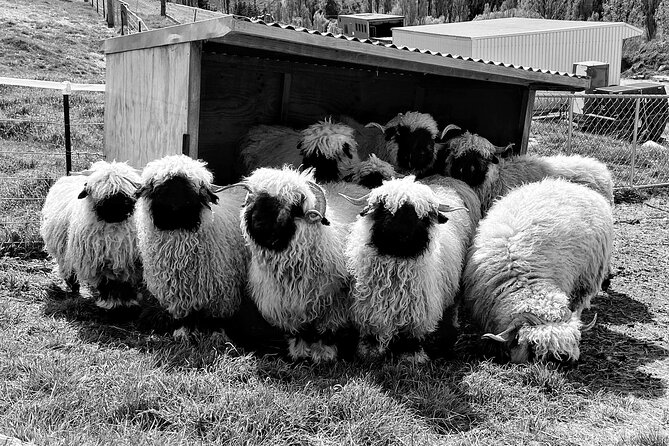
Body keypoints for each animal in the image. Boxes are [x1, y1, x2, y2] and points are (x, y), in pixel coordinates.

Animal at [40, 160, 142, 310]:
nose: (116, 209)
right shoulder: (97, 262)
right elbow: (107, 283)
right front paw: (110, 304)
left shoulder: (128, 261)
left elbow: (125, 283)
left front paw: (126, 302)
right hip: (63, 249)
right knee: (67, 266)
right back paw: (73, 285)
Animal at [134, 155, 249, 340]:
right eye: (161, 189)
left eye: (191, 189)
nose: (175, 208)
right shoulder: (177, 289)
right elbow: (185, 315)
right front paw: (183, 332)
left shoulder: (222, 290)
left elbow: (216, 317)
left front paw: (216, 333)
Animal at [224, 166, 366, 362]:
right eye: (253, 200)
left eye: (293, 205)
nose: (257, 222)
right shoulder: (288, 305)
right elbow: (299, 331)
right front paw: (299, 353)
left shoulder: (334, 302)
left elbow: (327, 331)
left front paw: (323, 354)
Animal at [342, 174, 478, 362]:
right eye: (385, 209)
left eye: (422, 216)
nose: (402, 234)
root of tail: (445, 180)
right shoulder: (369, 304)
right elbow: (372, 331)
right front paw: (370, 352)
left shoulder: (418, 308)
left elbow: (411, 336)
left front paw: (410, 356)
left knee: (451, 311)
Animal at [460, 176, 612, 364]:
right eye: (533, 344)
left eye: (575, 341)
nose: (565, 360)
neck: (522, 277)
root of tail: (573, 185)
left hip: (587, 279)